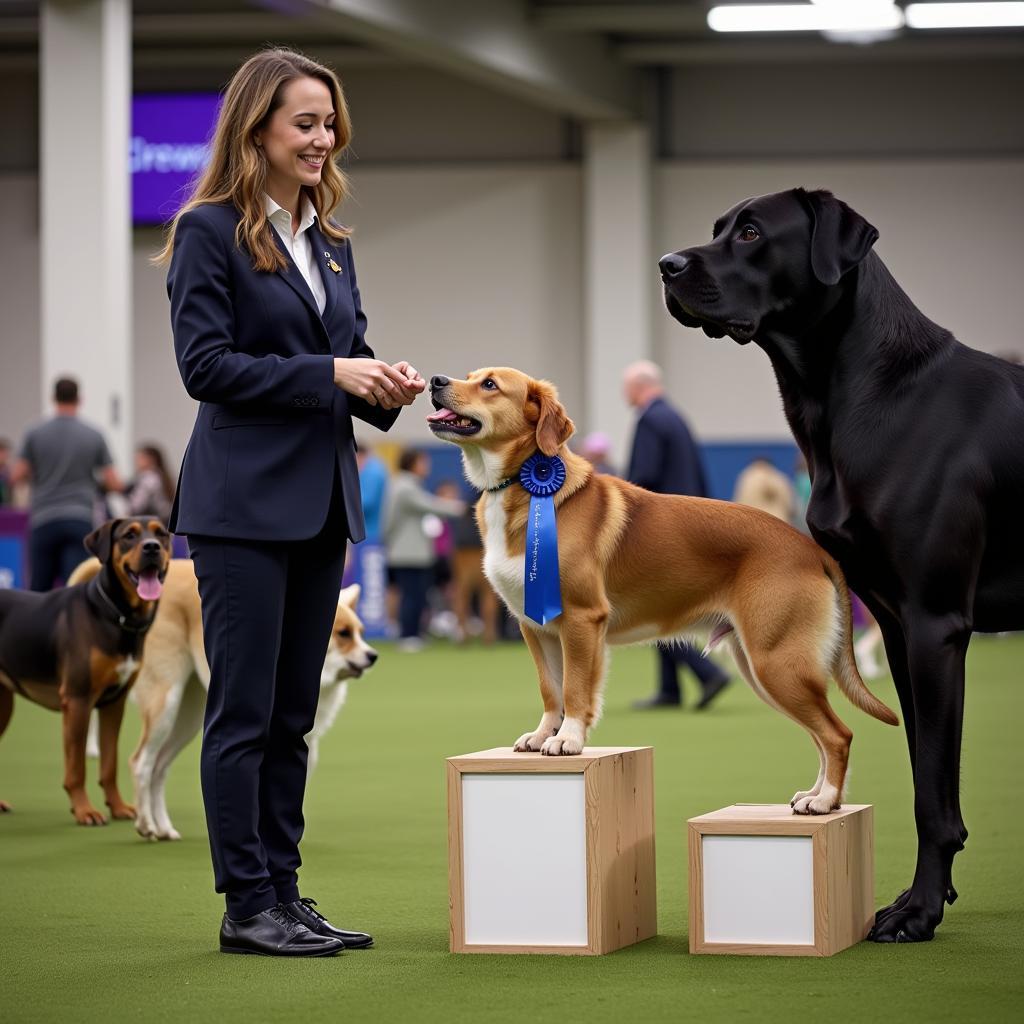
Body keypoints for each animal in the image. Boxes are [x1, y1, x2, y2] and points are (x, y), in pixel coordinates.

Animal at [0, 520, 172, 823]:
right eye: (129, 535)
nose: (152, 547)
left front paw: (118, 807)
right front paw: (84, 810)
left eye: (161, 534)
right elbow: (77, 766)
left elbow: (109, 763)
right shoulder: (78, 700)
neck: (114, 614)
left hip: (3, 703)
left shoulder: (114, 703)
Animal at [70, 561, 378, 839]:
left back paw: (164, 828)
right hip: (165, 706)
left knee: (158, 768)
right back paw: (146, 825)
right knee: (141, 763)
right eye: (343, 634)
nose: (373, 655)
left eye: (361, 633)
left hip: (188, 718)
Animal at [423, 368, 897, 815]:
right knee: (821, 736)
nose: (435, 381)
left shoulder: (581, 619)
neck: (528, 486)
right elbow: (550, 689)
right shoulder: (535, 627)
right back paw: (816, 797)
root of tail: (812, 549)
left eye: (489, 384)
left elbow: (575, 690)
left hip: (778, 663)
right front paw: (543, 735)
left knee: (837, 734)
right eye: (470, 375)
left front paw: (568, 740)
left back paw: (824, 802)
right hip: (765, 666)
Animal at [655, 186, 1024, 942]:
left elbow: (931, 795)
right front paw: (926, 898)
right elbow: (925, 777)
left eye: (752, 232)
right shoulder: (897, 623)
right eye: (717, 227)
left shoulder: (934, 624)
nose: (666, 265)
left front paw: (918, 912)